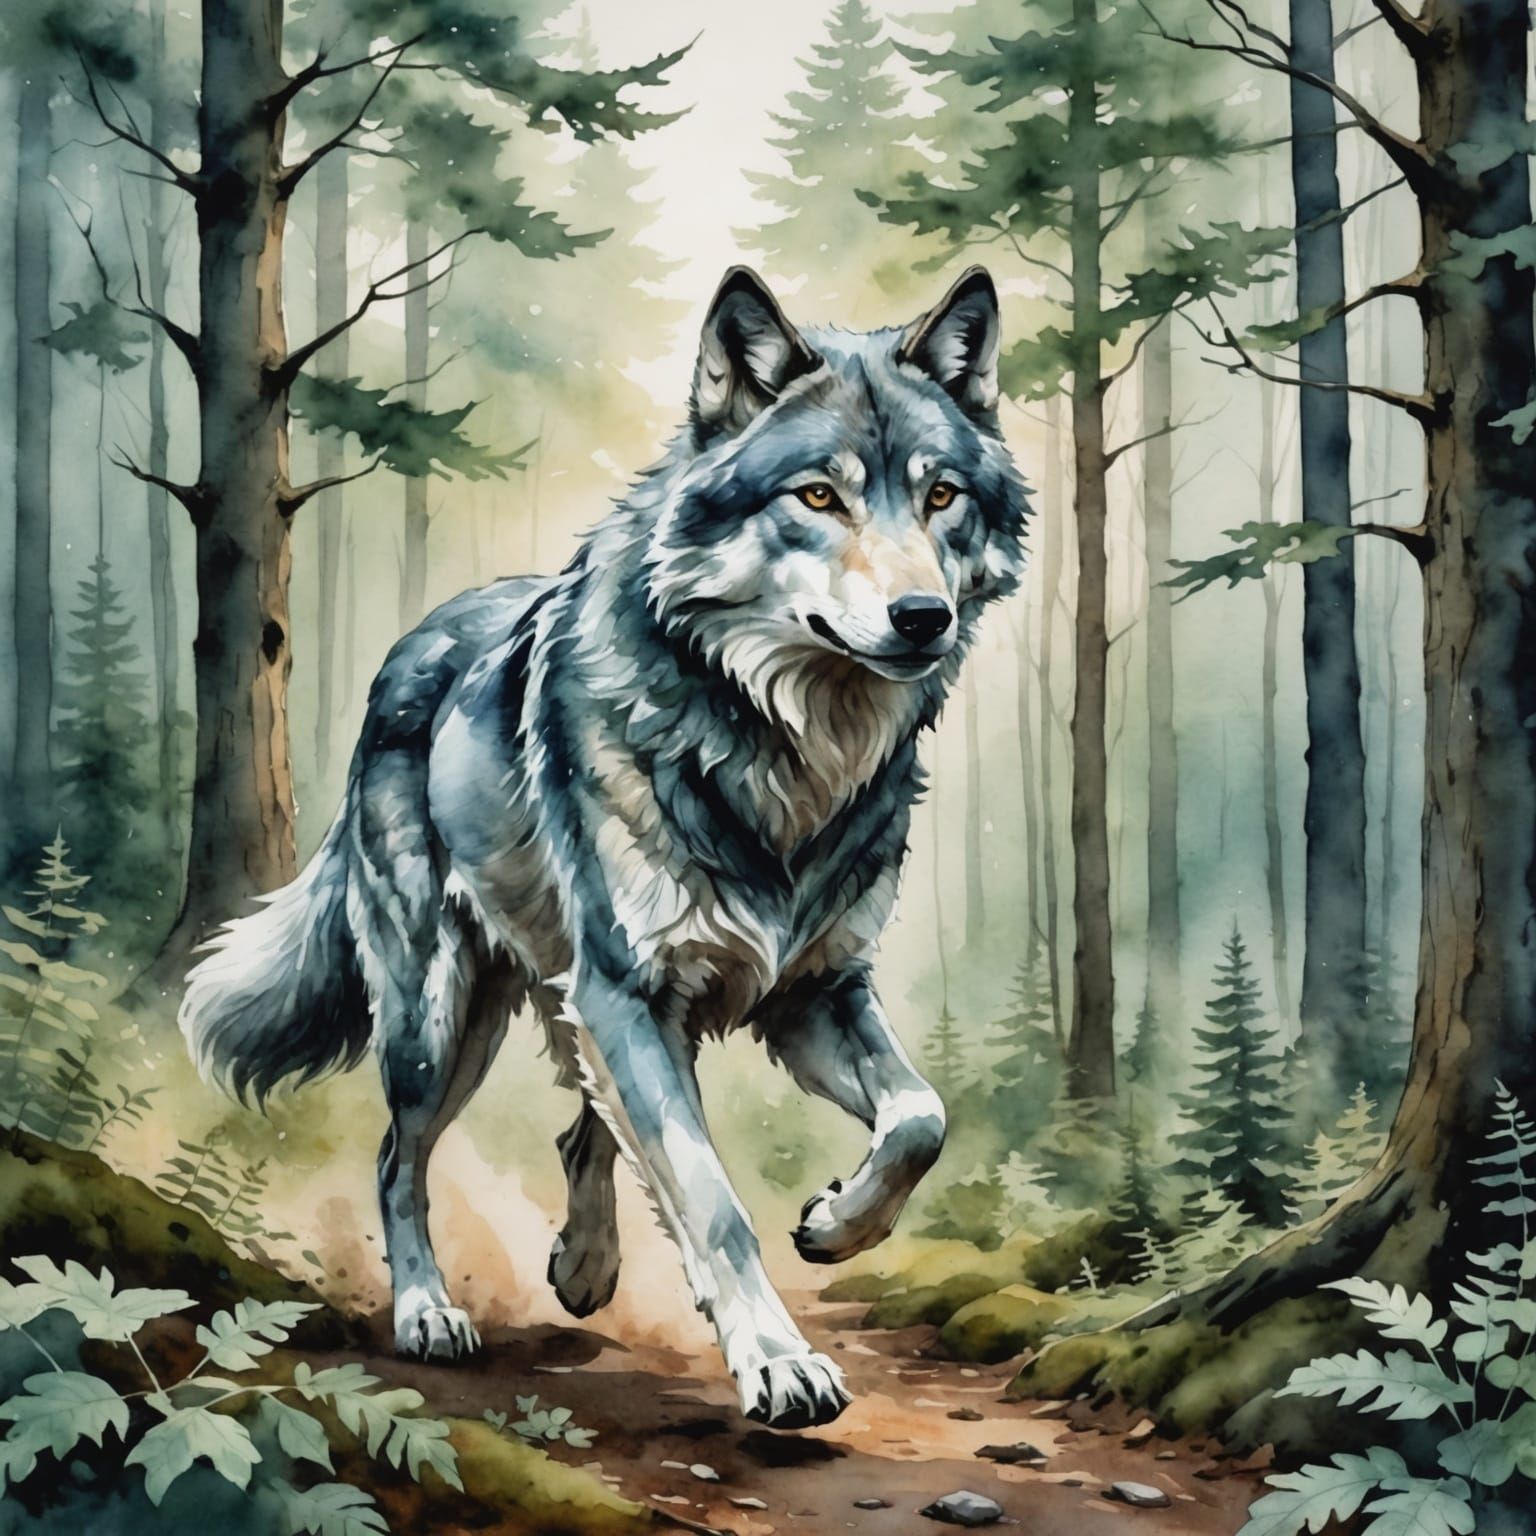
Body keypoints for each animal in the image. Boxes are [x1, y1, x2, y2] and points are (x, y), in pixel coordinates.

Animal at [180, 264, 1027, 1430]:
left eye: (941, 496)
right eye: (819, 497)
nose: (922, 617)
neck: (784, 759)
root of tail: (414, 639)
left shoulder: (811, 992)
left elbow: (920, 1119)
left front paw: (834, 1222)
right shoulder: (633, 988)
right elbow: (712, 1198)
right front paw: (779, 1361)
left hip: (581, 999)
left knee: (582, 1125)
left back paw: (584, 1267)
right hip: (443, 1021)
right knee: (399, 1157)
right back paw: (428, 1313)